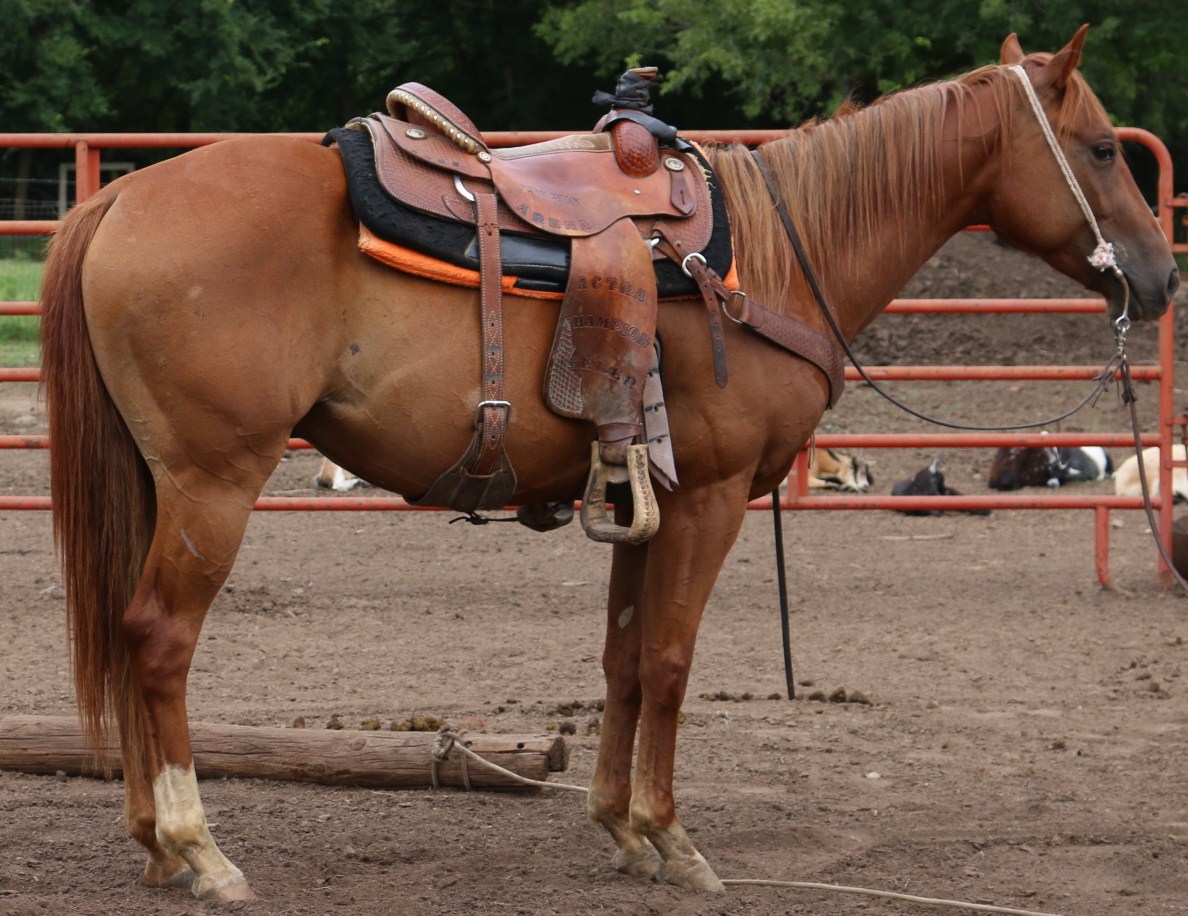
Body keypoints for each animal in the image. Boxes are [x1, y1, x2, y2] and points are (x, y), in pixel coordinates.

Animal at [38, 27, 1178, 899]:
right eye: (1099, 151)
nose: (1162, 278)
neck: (772, 256)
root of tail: (119, 200)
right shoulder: (710, 499)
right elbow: (671, 663)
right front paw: (674, 839)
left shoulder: (645, 497)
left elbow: (623, 661)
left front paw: (621, 829)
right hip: (213, 485)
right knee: (159, 640)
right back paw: (199, 849)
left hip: (157, 484)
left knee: (128, 635)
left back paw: (154, 847)